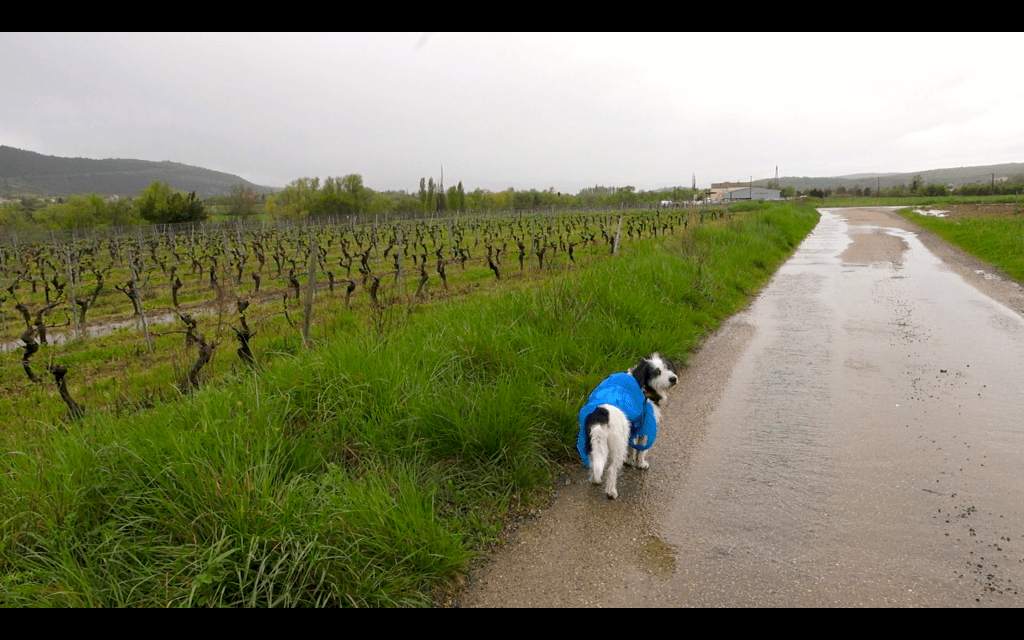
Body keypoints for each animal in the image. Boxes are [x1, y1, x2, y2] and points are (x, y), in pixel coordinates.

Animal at [577, 353, 679, 499]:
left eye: (668, 367)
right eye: (657, 372)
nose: (673, 379)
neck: (643, 385)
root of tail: (602, 414)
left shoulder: (633, 429)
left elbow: (632, 448)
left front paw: (630, 461)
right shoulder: (646, 427)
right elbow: (641, 450)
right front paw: (641, 464)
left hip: (592, 442)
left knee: (594, 463)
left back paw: (595, 480)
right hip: (618, 445)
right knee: (611, 470)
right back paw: (611, 492)